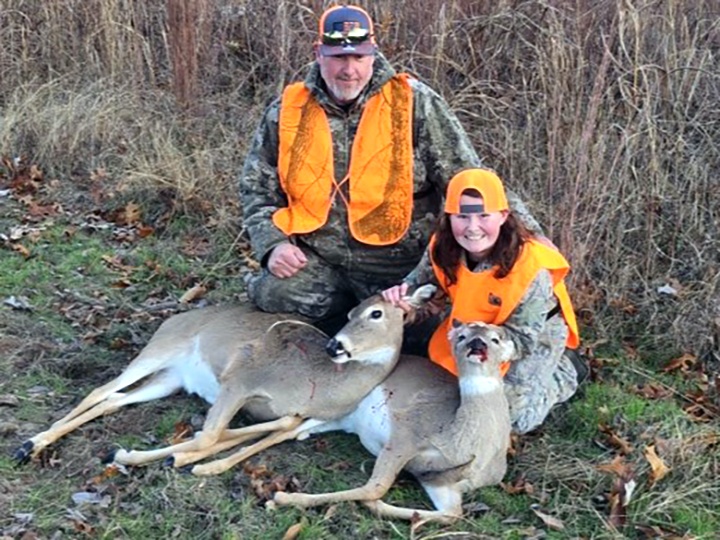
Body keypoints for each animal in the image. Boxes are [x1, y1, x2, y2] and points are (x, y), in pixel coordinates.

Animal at [14, 285, 437, 473]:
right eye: (350, 313)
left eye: (376, 314)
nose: (336, 345)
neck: (317, 382)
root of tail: (177, 315)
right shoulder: (241, 375)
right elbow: (212, 434)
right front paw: (170, 457)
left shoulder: (288, 412)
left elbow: (267, 428)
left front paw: (173, 457)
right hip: (161, 348)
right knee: (101, 389)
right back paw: (29, 444)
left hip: (170, 379)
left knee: (114, 399)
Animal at [272, 320, 514, 523]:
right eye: (462, 336)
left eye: (495, 339)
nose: (477, 342)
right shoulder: (404, 435)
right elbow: (375, 488)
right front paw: (283, 497)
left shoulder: (439, 482)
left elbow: (451, 514)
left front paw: (376, 506)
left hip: (344, 417)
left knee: (291, 429)